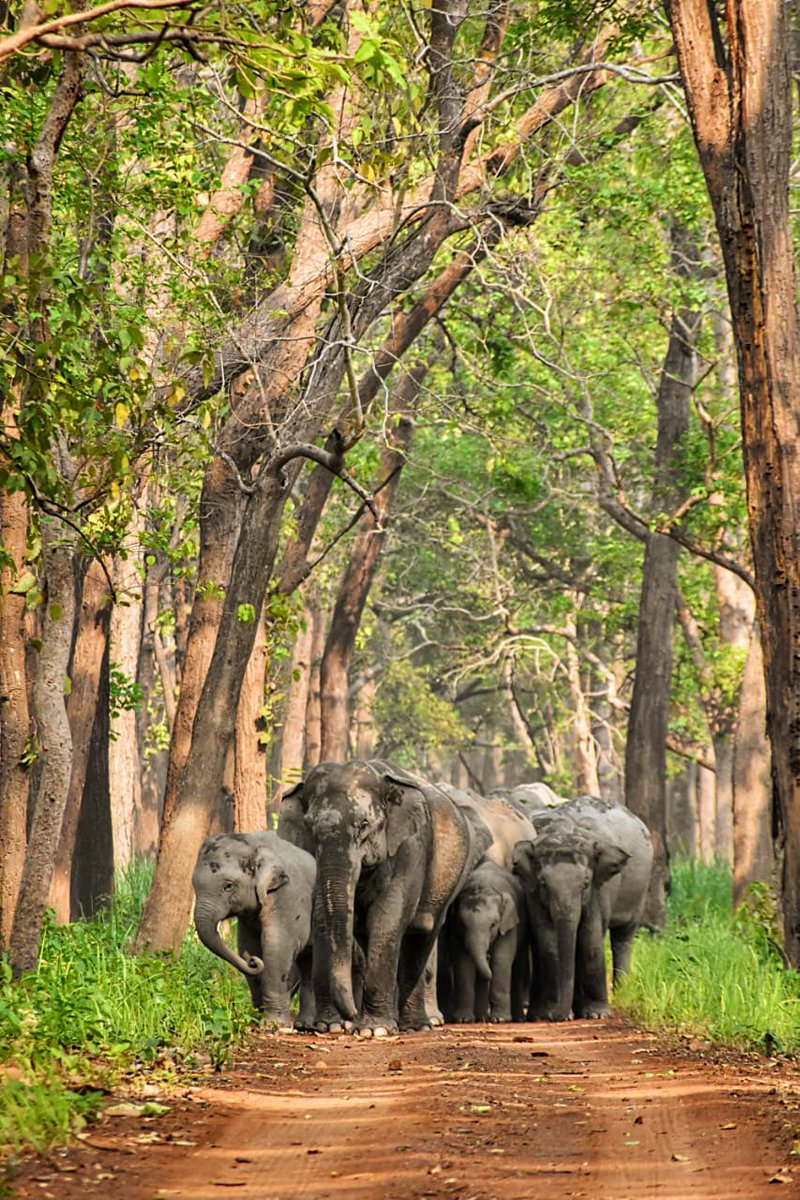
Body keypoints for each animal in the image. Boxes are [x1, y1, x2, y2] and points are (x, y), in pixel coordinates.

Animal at [193, 830, 316, 1027]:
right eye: (194, 885)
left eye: (228, 886)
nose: (254, 962)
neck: (254, 842)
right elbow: (247, 946)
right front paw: (256, 1018)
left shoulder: (289, 895)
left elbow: (277, 948)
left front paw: (272, 1025)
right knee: (308, 962)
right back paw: (305, 1025)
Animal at [278, 758, 484, 1032]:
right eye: (310, 828)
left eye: (363, 824)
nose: (350, 1016)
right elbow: (320, 918)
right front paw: (329, 1026)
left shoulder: (411, 846)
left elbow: (388, 915)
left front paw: (374, 1029)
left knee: (422, 933)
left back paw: (416, 1026)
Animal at [441, 859, 527, 1027]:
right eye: (462, 924)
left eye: (493, 925)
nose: (487, 955)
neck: (483, 886)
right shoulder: (455, 929)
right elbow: (463, 961)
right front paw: (463, 1019)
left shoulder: (509, 924)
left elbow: (501, 959)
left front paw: (500, 1019)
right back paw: (480, 1017)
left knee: (517, 969)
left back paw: (517, 1018)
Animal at [510, 796, 652, 1022]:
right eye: (543, 883)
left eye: (585, 884)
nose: (558, 1017)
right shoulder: (530, 889)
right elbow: (547, 939)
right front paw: (548, 1014)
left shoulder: (601, 887)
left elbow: (590, 937)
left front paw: (596, 1014)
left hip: (639, 892)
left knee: (623, 937)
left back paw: (621, 992)